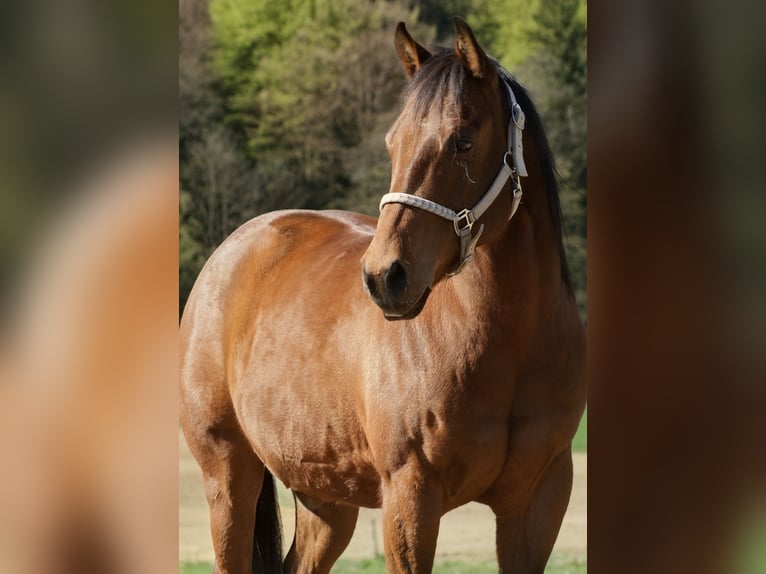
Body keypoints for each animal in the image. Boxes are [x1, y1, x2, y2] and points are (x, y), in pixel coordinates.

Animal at [180, 17, 585, 574]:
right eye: (393, 143)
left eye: (462, 141)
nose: (383, 277)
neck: (510, 349)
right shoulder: (409, 498)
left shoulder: (539, 500)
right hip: (228, 477)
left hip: (325, 496)